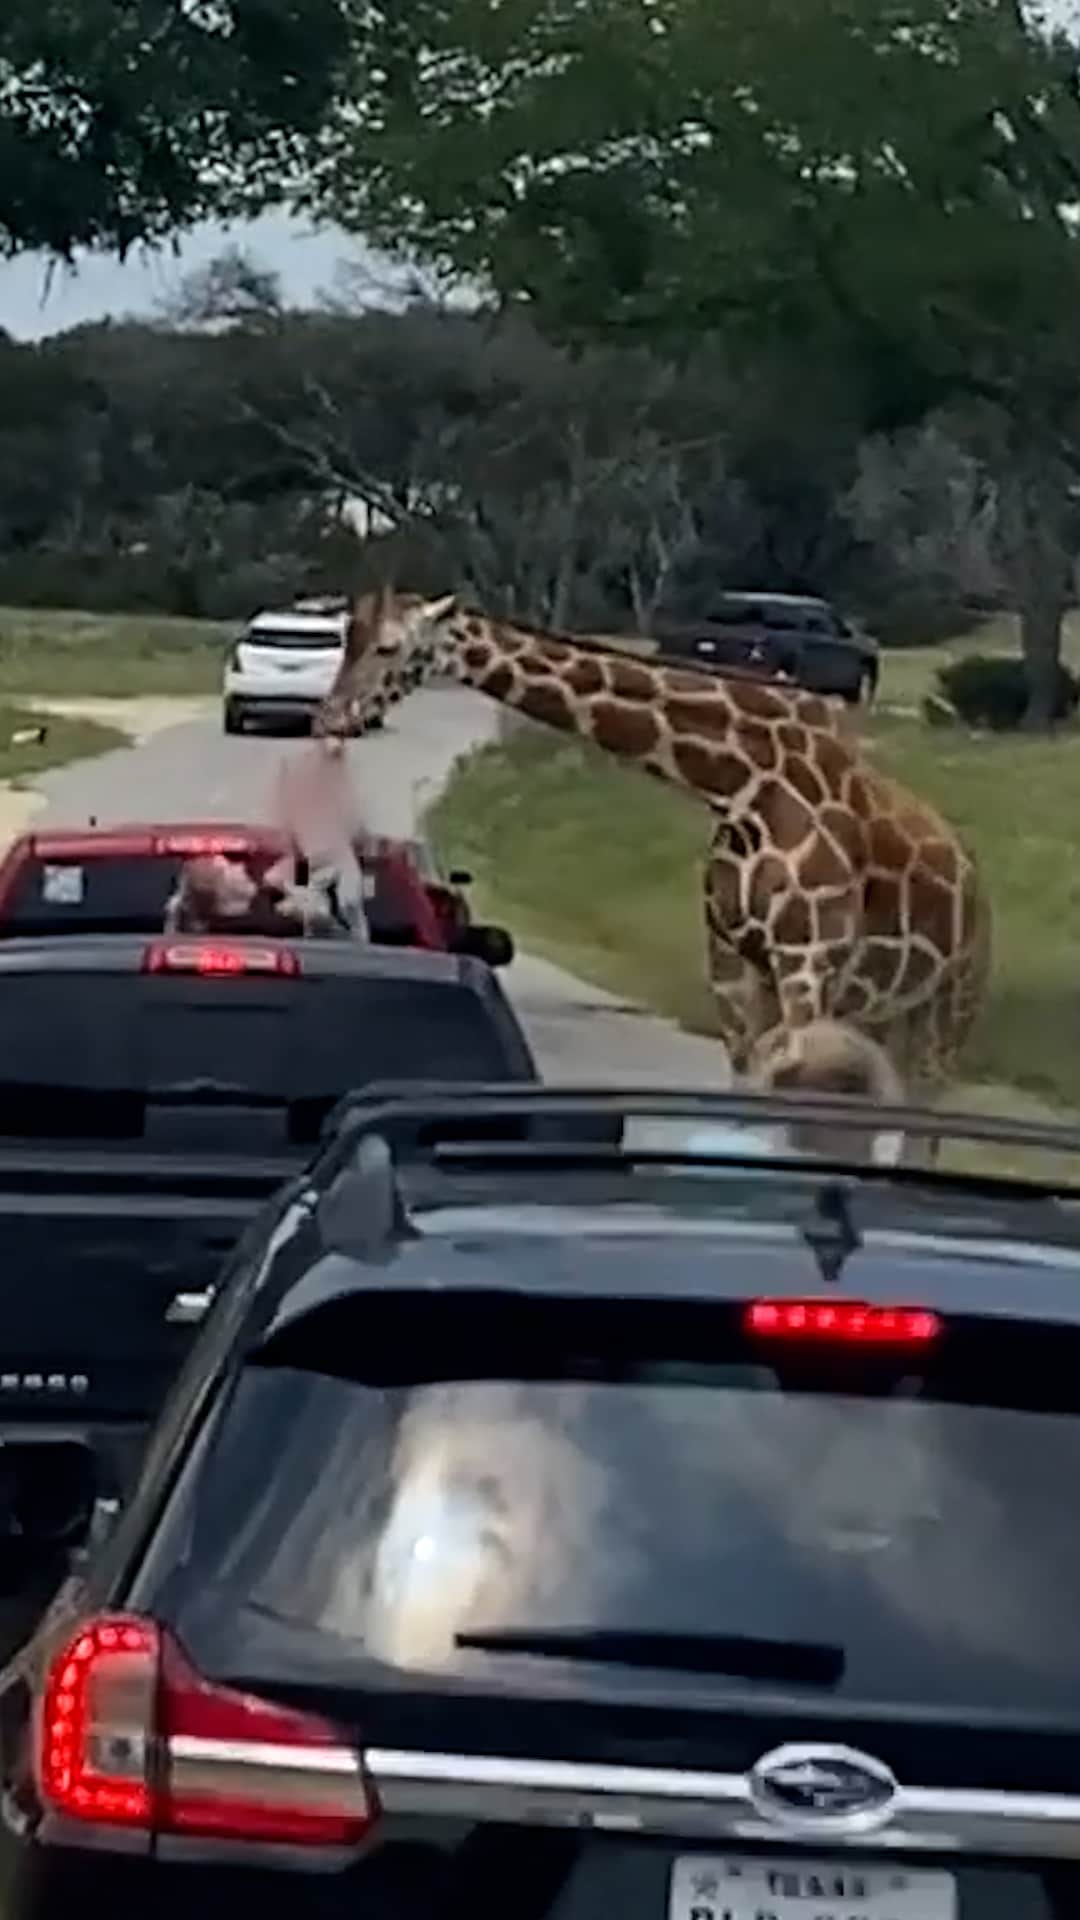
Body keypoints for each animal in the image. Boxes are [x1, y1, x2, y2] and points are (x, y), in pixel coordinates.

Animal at [317, 590, 990, 1089]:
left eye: (388, 647)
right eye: (347, 636)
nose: (330, 716)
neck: (742, 784)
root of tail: (972, 877)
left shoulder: (808, 962)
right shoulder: (732, 962)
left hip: (949, 1006)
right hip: (886, 1014)